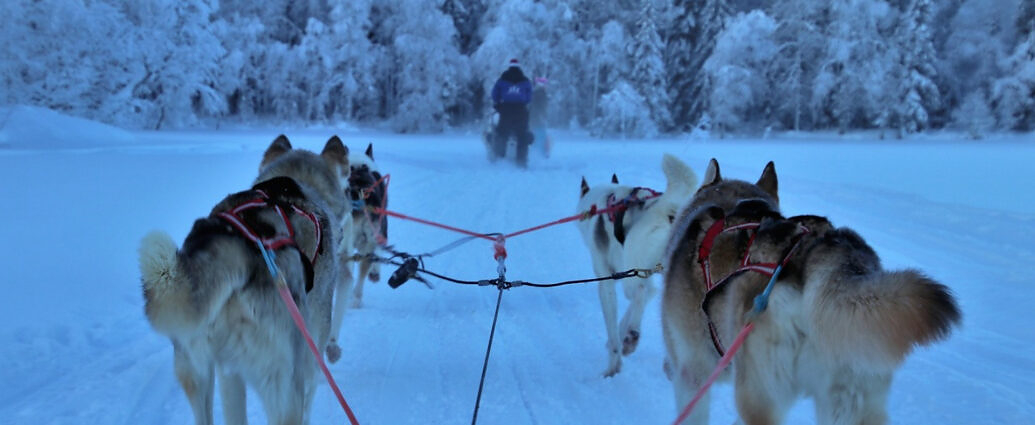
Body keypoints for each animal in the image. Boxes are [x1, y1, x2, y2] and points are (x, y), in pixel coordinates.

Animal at [579, 155, 699, 378]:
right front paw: (619, 338)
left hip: (633, 269)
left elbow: (615, 323)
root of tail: (668, 208)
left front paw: (613, 364)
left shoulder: (608, 281)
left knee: (640, 292)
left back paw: (632, 336)